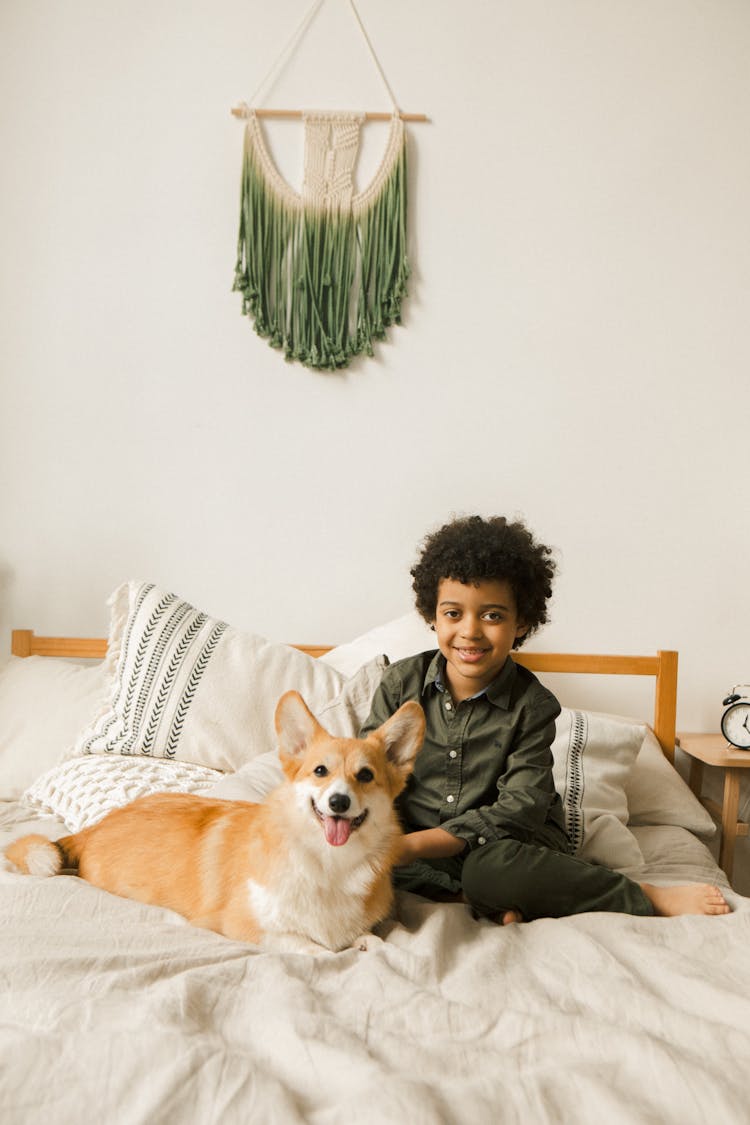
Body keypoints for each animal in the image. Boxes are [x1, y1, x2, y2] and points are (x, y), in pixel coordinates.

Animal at [5, 688, 422, 954]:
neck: (328, 863)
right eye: (320, 771)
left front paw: (366, 943)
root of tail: (95, 829)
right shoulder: (239, 926)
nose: (338, 802)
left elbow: (373, 941)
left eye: (365, 776)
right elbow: (316, 949)